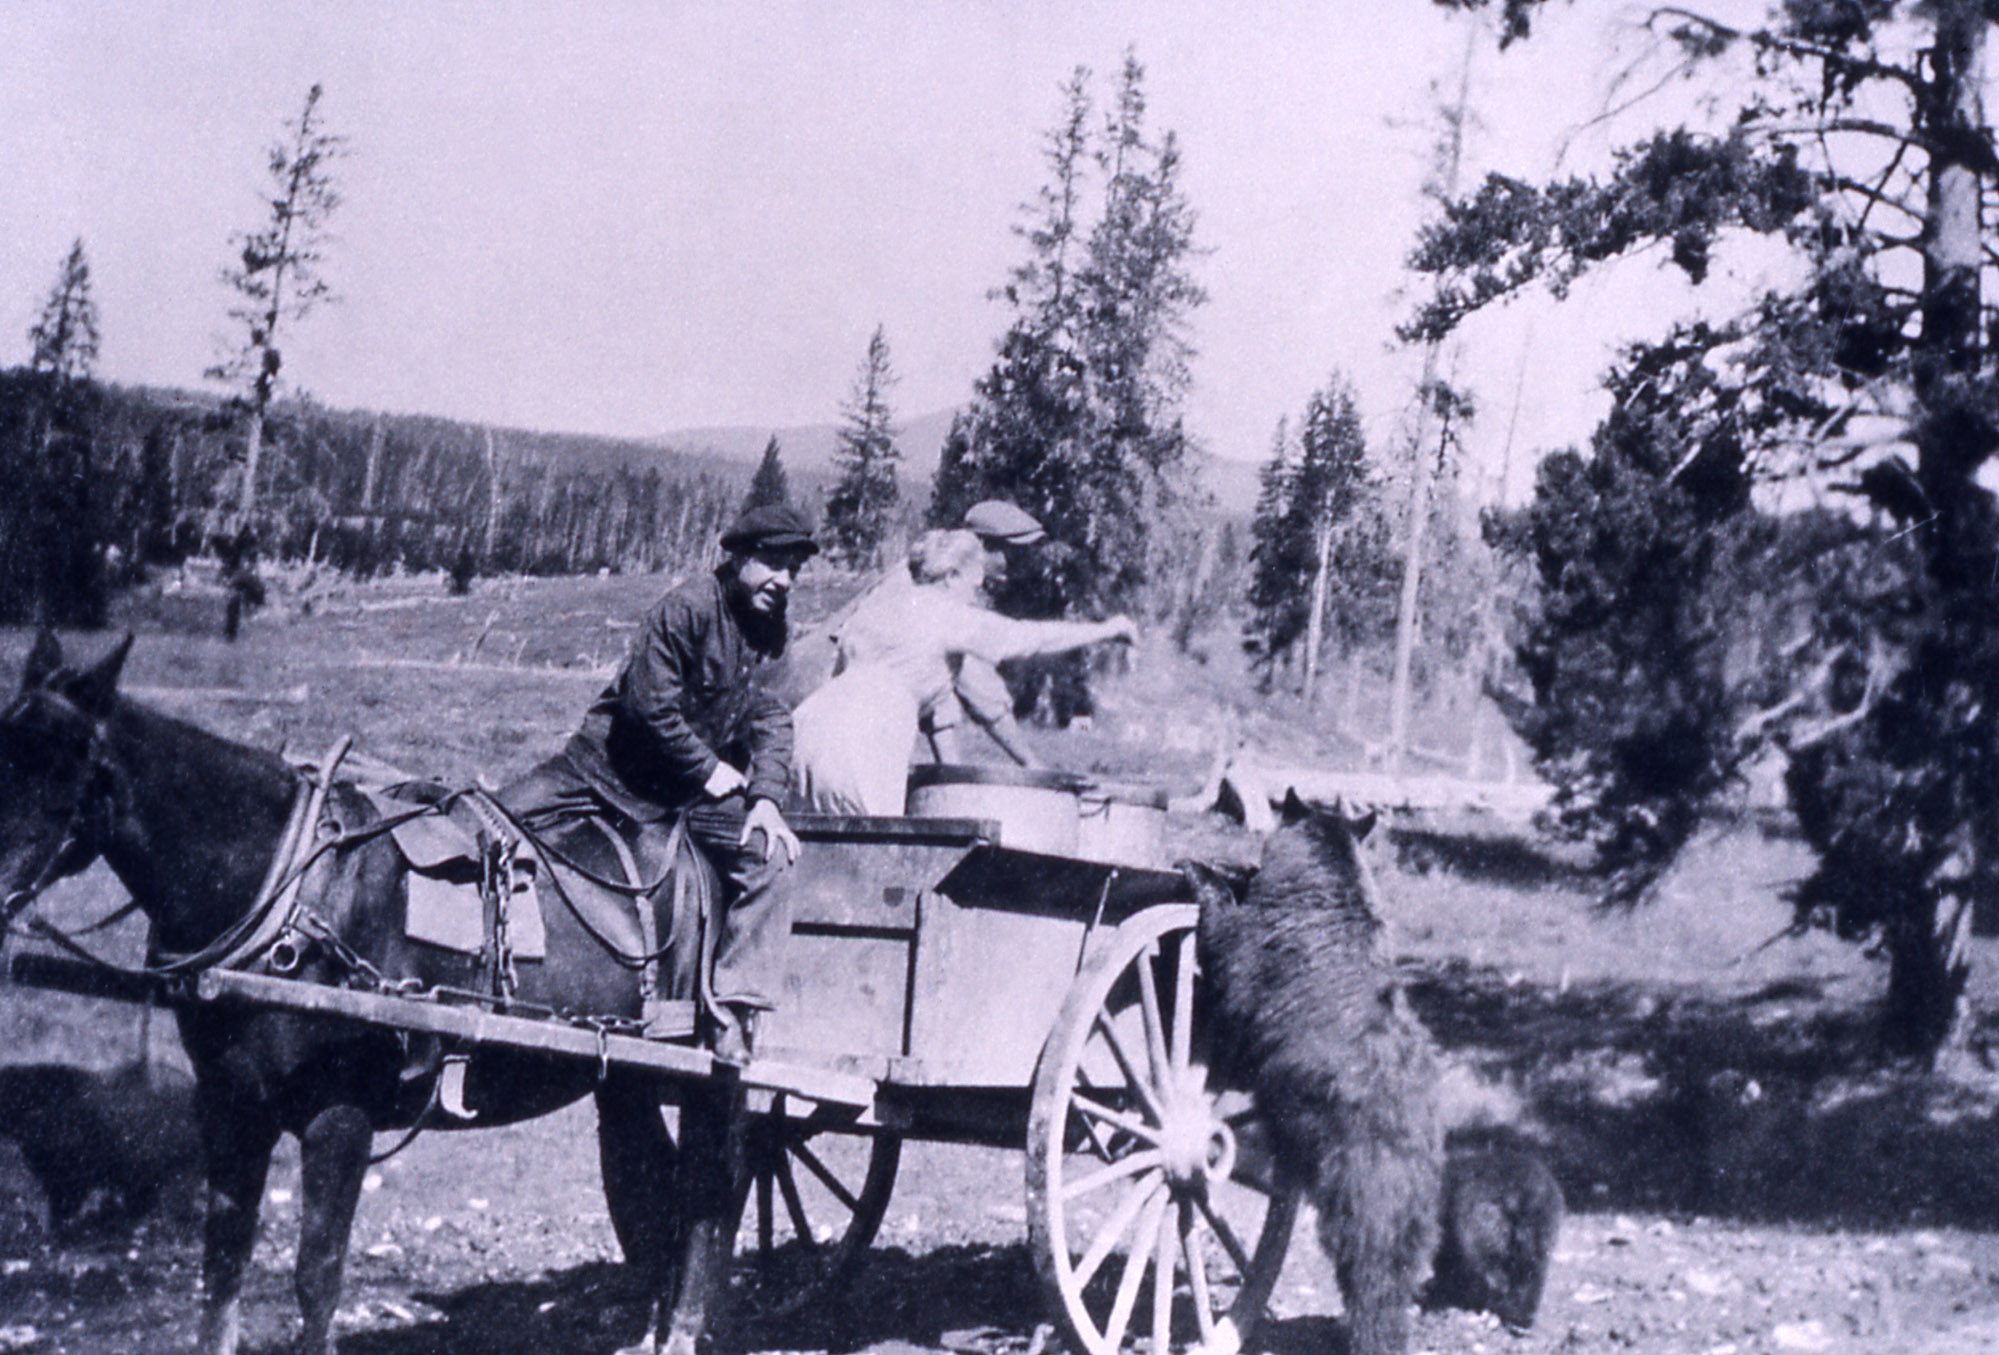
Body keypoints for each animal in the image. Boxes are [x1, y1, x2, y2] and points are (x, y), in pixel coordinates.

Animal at [1191, 795, 1447, 1355]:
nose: (1243, 865)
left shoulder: (1259, 954)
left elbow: (1226, 945)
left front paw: (1202, 874)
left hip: (1358, 1179)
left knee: (1368, 1266)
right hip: (1419, 1207)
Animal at [1431, 1127, 1567, 1335]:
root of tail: (1519, 1194)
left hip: (1484, 1233)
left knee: (1495, 1272)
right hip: (1540, 1235)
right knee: (1532, 1274)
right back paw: (1523, 1316)